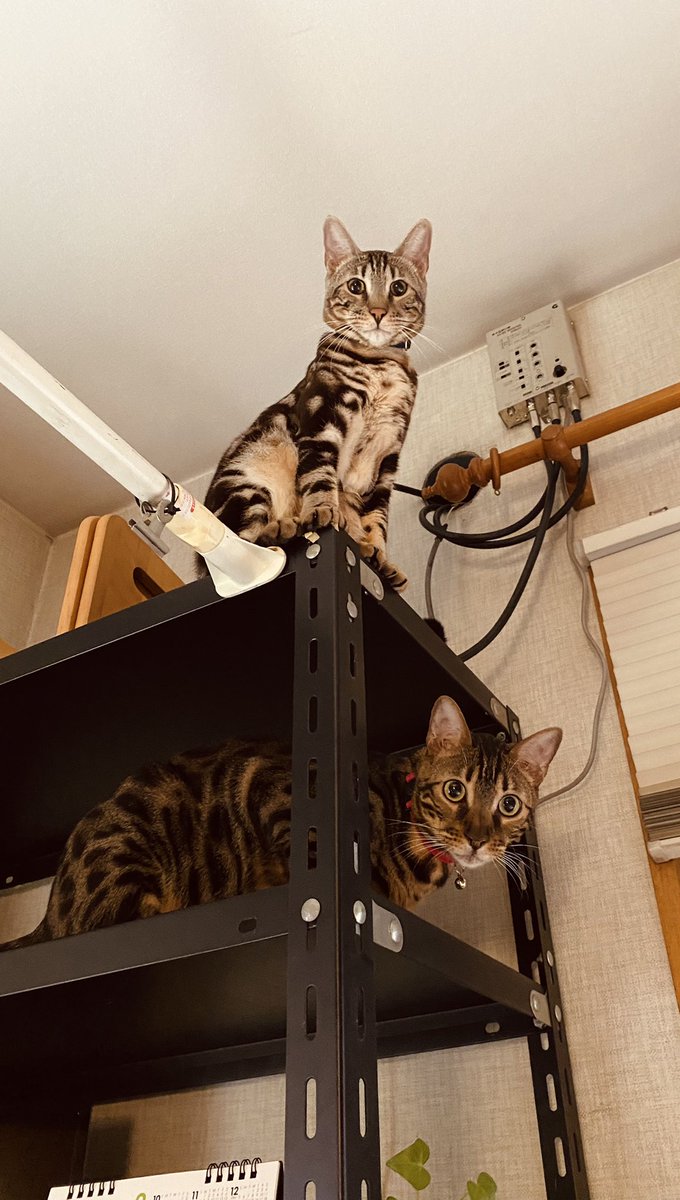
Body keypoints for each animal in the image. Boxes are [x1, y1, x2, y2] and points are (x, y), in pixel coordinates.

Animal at [201, 216, 432, 591]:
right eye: (355, 286)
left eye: (398, 288)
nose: (378, 312)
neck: (380, 362)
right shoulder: (322, 421)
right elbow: (321, 476)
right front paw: (323, 512)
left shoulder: (387, 456)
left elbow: (377, 517)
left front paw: (378, 557)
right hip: (247, 482)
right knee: (244, 545)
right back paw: (284, 526)